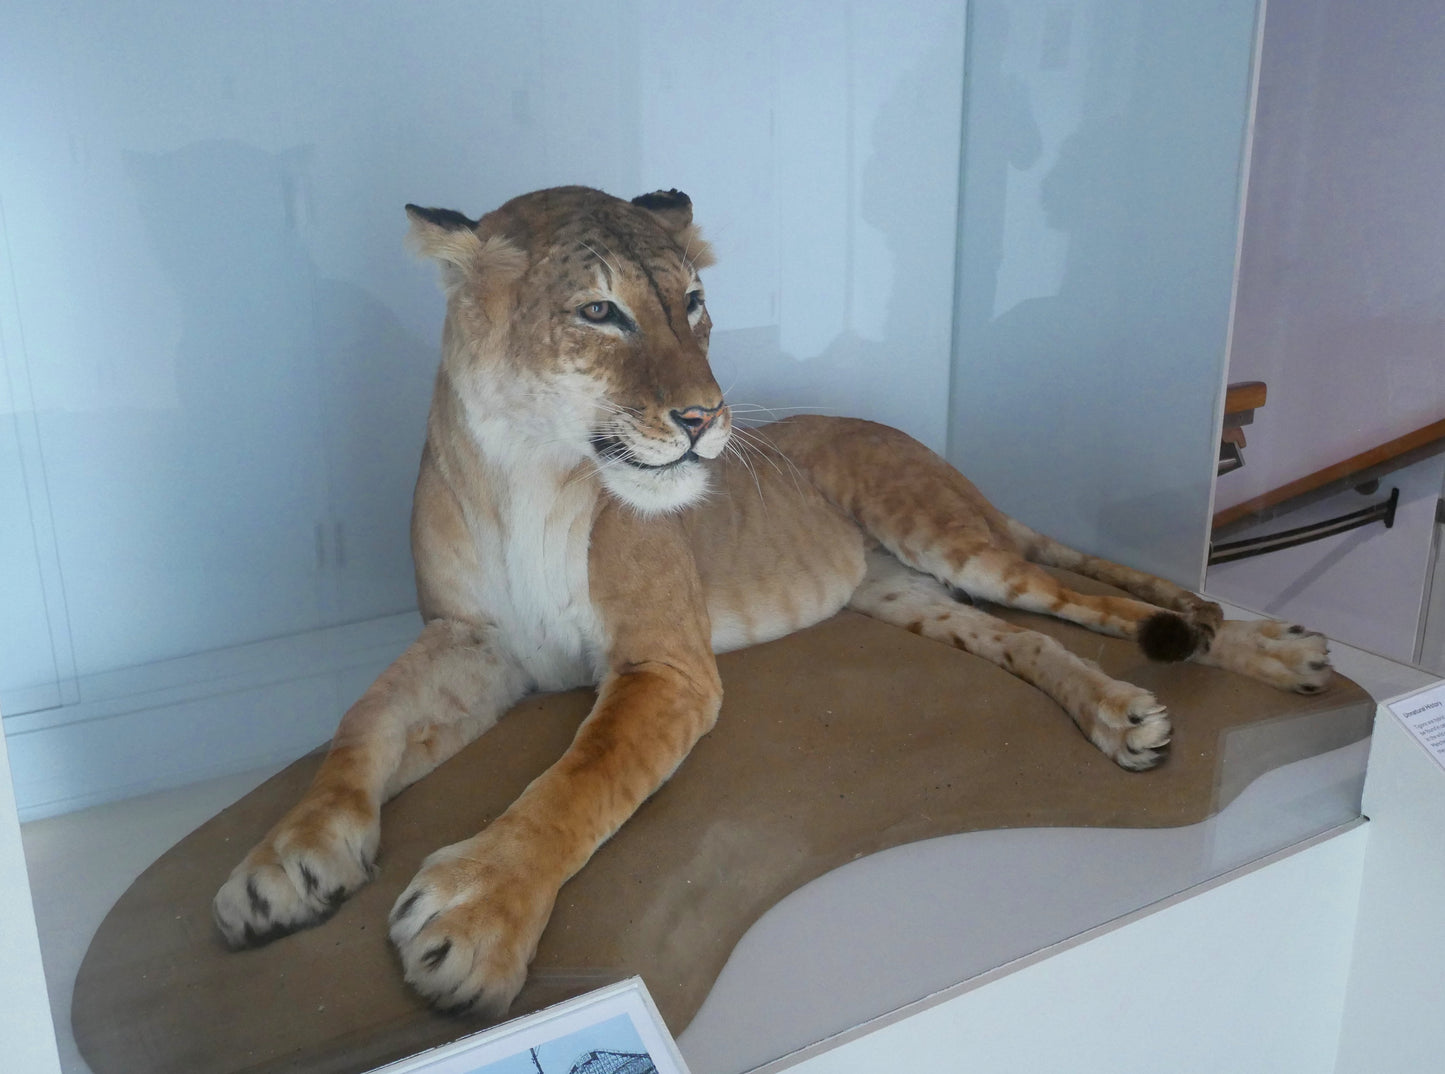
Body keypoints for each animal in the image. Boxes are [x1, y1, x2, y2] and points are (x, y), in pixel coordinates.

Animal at [213, 185, 1331, 1017]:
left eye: (693, 303)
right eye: (599, 311)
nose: (705, 418)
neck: (525, 470)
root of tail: (914, 439)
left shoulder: (667, 666)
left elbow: (580, 780)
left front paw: (478, 912)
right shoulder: (472, 642)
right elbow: (361, 725)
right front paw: (284, 865)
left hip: (947, 536)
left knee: (1093, 599)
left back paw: (1277, 654)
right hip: (906, 592)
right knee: (1021, 641)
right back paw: (1117, 713)